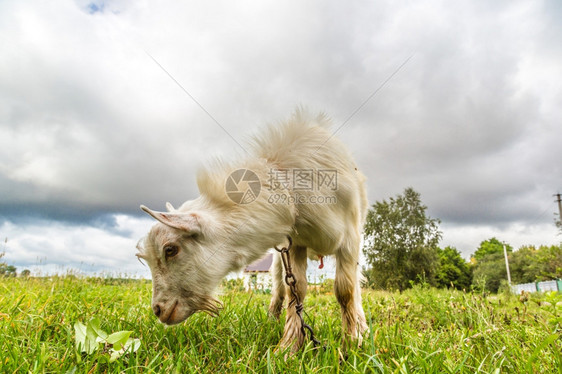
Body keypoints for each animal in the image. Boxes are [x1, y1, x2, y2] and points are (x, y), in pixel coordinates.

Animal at [137, 109, 368, 354]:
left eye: (170, 249)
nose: (158, 310)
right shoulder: (296, 244)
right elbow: (297, 290)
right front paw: (288, 347)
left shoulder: (350, 238)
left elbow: (345, 291)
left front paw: (350, 345)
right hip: (279, 258)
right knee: (279, 289)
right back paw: (272, 320)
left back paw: (361, 326)